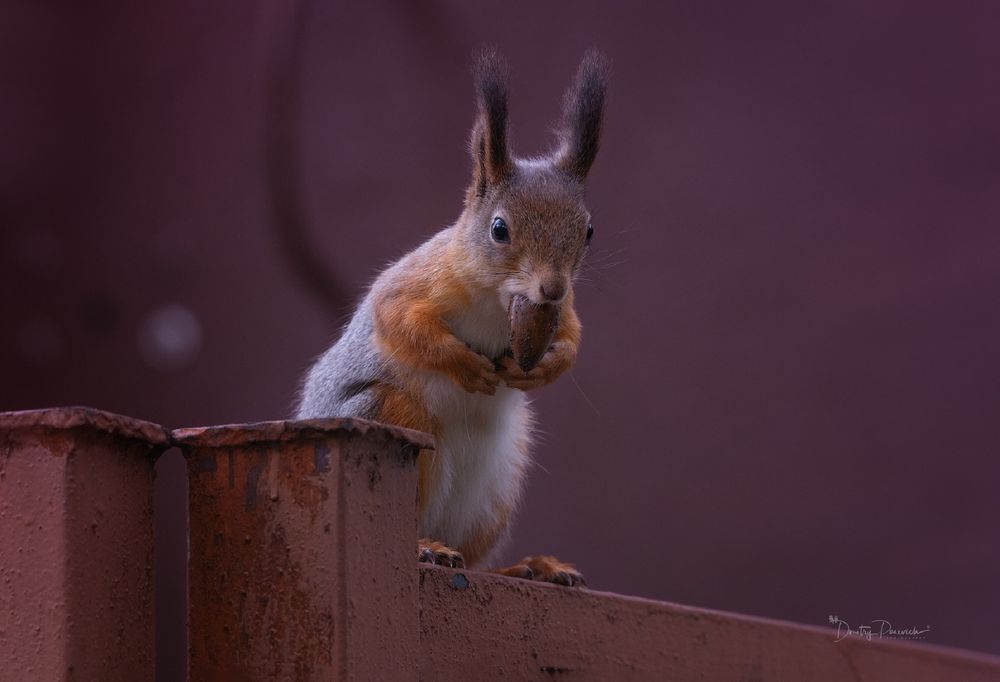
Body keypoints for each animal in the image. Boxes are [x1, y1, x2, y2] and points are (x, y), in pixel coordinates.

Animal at [294, 49, 608, 584]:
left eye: (587, 231)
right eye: (499, 229)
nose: (551, 287)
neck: (498, 299)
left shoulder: (560, 312)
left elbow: (572, 338)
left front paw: (546, 367)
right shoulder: (417, 282)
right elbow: (400, 323)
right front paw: (464, 365)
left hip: (499, 484)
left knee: (479, 561)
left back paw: (528, 568)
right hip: (390, 415)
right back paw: (427, 548)